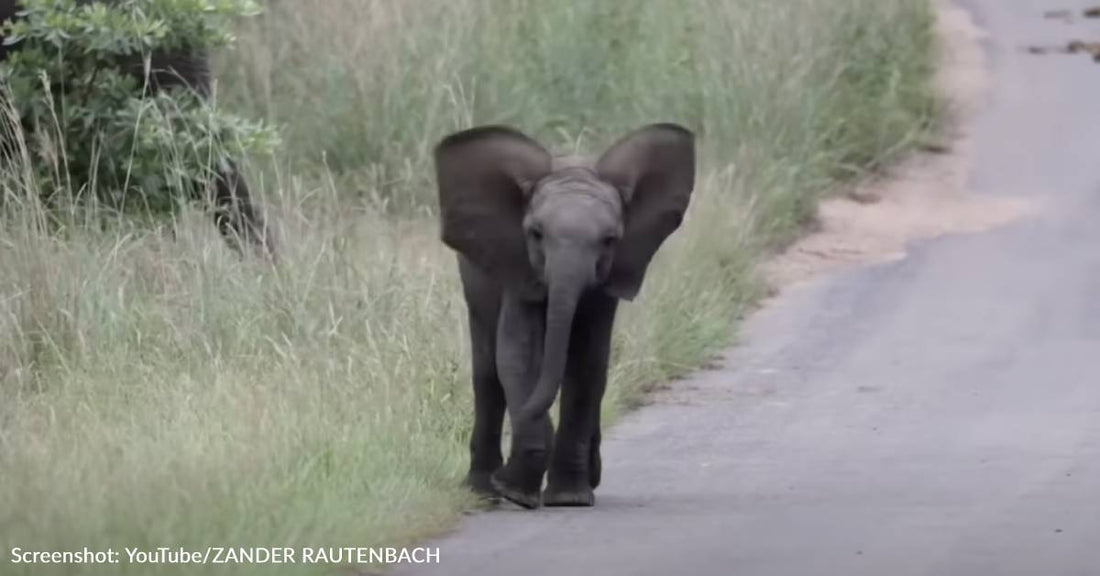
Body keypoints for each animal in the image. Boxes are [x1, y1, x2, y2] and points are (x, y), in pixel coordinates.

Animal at [433, 122, 690, 507]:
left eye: (610, 240)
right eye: (536, 234)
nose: (502, 478)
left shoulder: (603, 285)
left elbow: (587, 363)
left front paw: (567, 498)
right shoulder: (518, 266)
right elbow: (519, 356)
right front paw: (515, 492)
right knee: (488, 371)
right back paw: (482, 490)